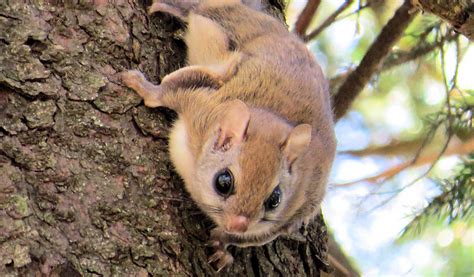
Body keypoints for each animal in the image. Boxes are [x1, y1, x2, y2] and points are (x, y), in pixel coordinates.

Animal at [122, 0, 336, 270]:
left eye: (275, 200)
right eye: (223, 182)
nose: (238, 224)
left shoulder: (292, 212)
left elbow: (249, 238)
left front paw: (222, 246)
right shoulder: (202, 104)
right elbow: (168, 91)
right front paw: (143, 87)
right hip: (223, 24)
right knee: (200, 10)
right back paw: (168, 7)